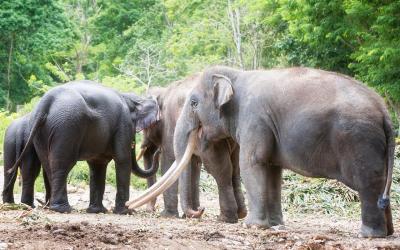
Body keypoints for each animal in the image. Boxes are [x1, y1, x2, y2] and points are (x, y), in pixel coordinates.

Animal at [10, 81, 159, 214]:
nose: (158, 151)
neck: (129, 97)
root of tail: (46, 102)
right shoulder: (123, 124)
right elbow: (122, 160)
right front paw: (125, 212)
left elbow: (98, 164)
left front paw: (97, 211)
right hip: (67, 126)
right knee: (63, 164)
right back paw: (63, 209)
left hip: (43, 132)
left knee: (48, 164)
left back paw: (55, 207)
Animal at [132, 74, 247, 223]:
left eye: (146, 126)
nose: (150, 210)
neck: (162, 91)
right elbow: (194, 164)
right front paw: (190, 215)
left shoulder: (169, 126)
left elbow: (169, 159)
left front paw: (167, 215)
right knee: (234, 167)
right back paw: (240, 213)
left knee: (219, 169)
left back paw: (224, 218)